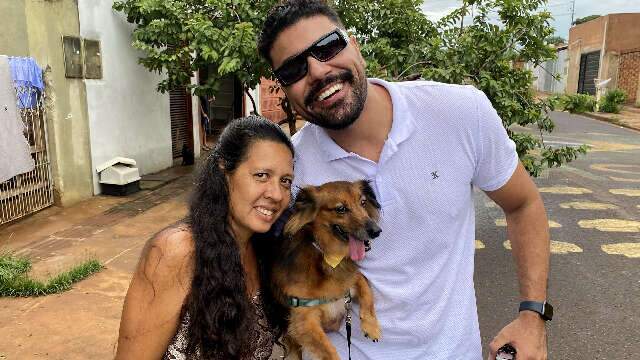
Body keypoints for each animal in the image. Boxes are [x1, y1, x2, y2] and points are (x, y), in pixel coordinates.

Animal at [272, 181, 382, 358]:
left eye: (363, 202)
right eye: (341, 208)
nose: (376, 231)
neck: (328, 257)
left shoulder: (352, 279)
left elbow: (367, 293)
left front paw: (371, 327)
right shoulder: (303, 320)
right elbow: (328, 350)